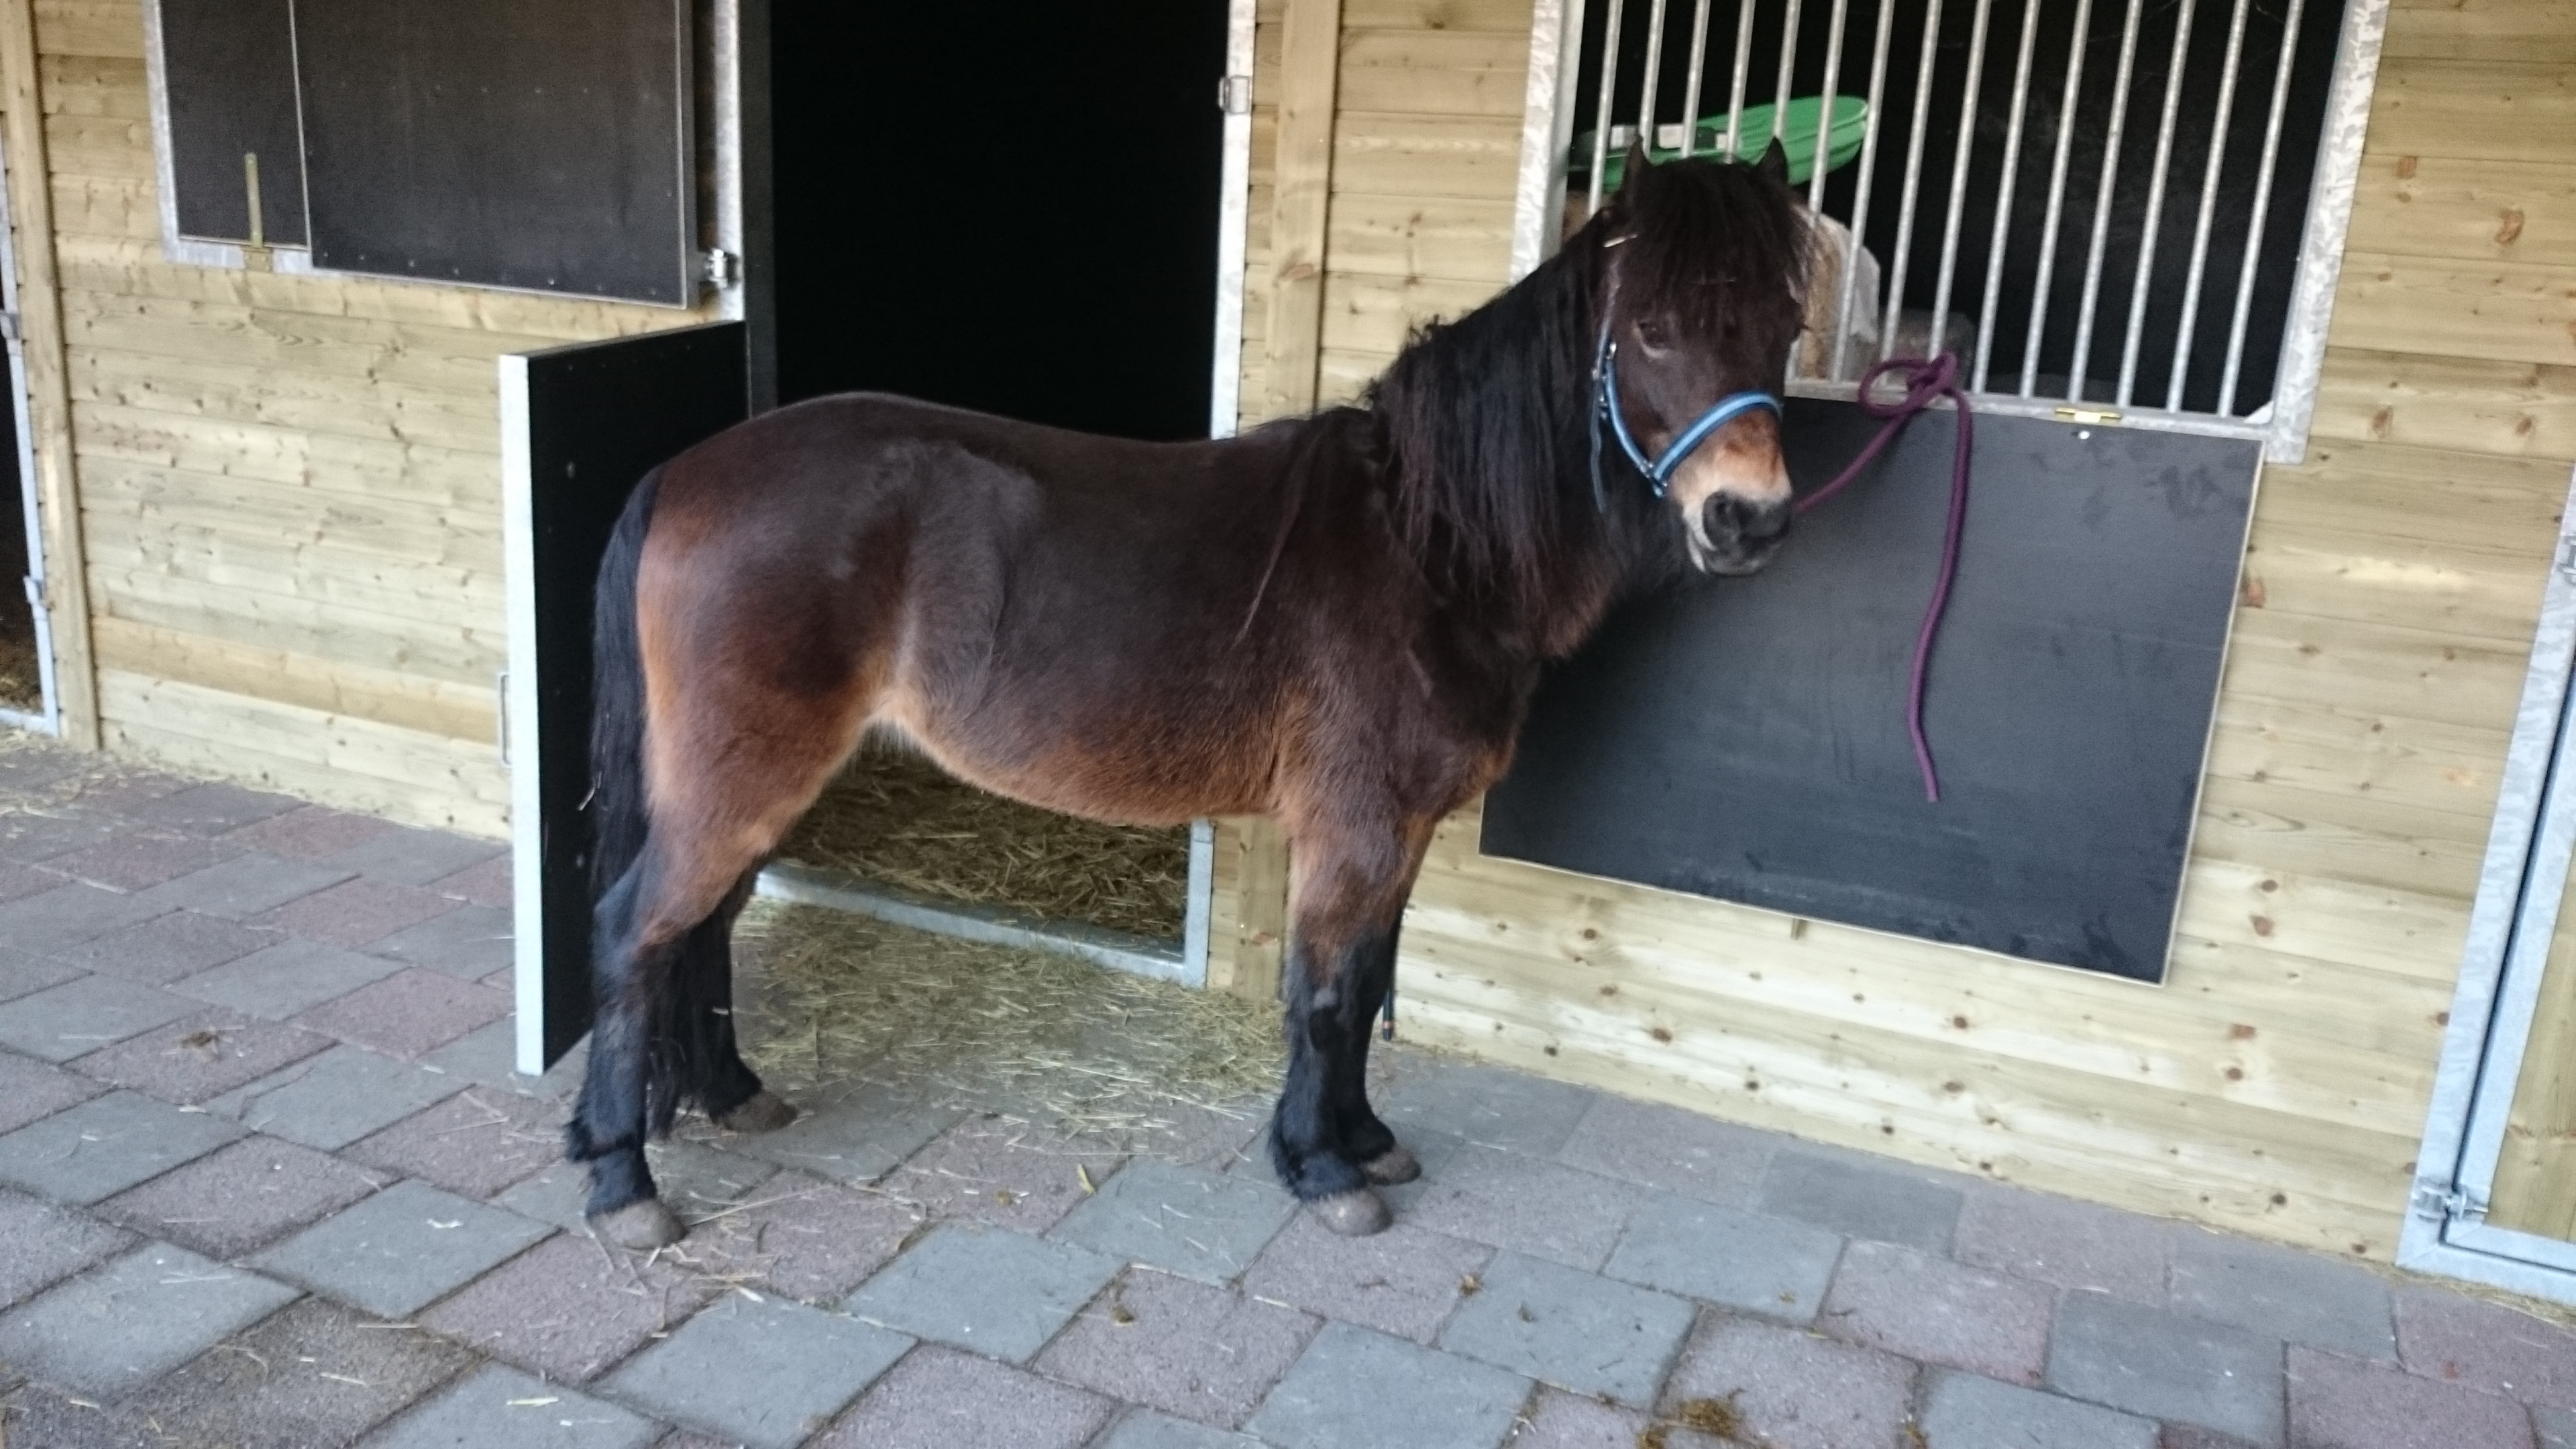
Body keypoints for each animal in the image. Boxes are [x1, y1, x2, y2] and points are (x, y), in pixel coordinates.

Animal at [567, 148, 1812, 1249]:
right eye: (1651, 329)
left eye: (1788, 326)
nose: (1748, 520)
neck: (1427, 544)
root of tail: (687, 472)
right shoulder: (1356, 828)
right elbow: (1325, 996)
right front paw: (1320, 1169)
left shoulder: (1400, 830)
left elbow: (1367, 984)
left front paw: (1365, 1141)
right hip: (742, 779)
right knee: (638, 933)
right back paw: (623, 1183)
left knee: (703, 928)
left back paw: (733, 1093)